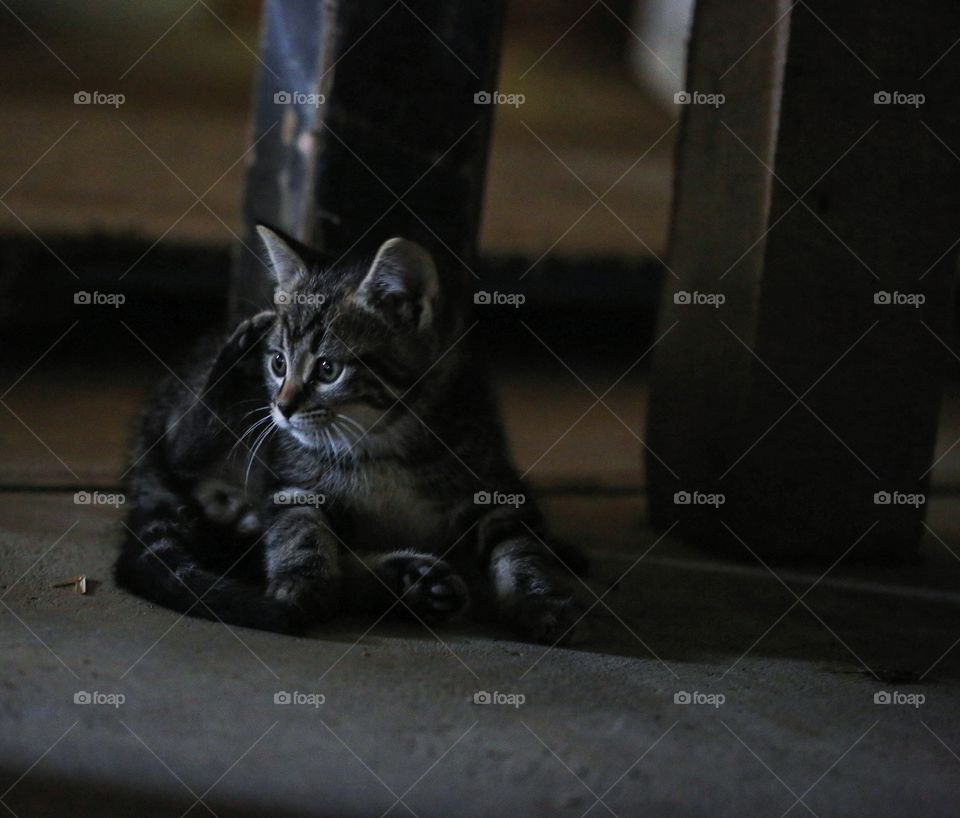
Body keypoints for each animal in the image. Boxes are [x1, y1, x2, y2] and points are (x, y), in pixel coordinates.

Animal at [116, 226, 588, 640]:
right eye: (278, 363)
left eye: (328, 369)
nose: (282, 407)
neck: (382, 443)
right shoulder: (292, 482)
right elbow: (301, 528)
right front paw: (303, 583)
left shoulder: (495, 482)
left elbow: (519, 548)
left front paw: (541, 600)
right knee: (185, 452)